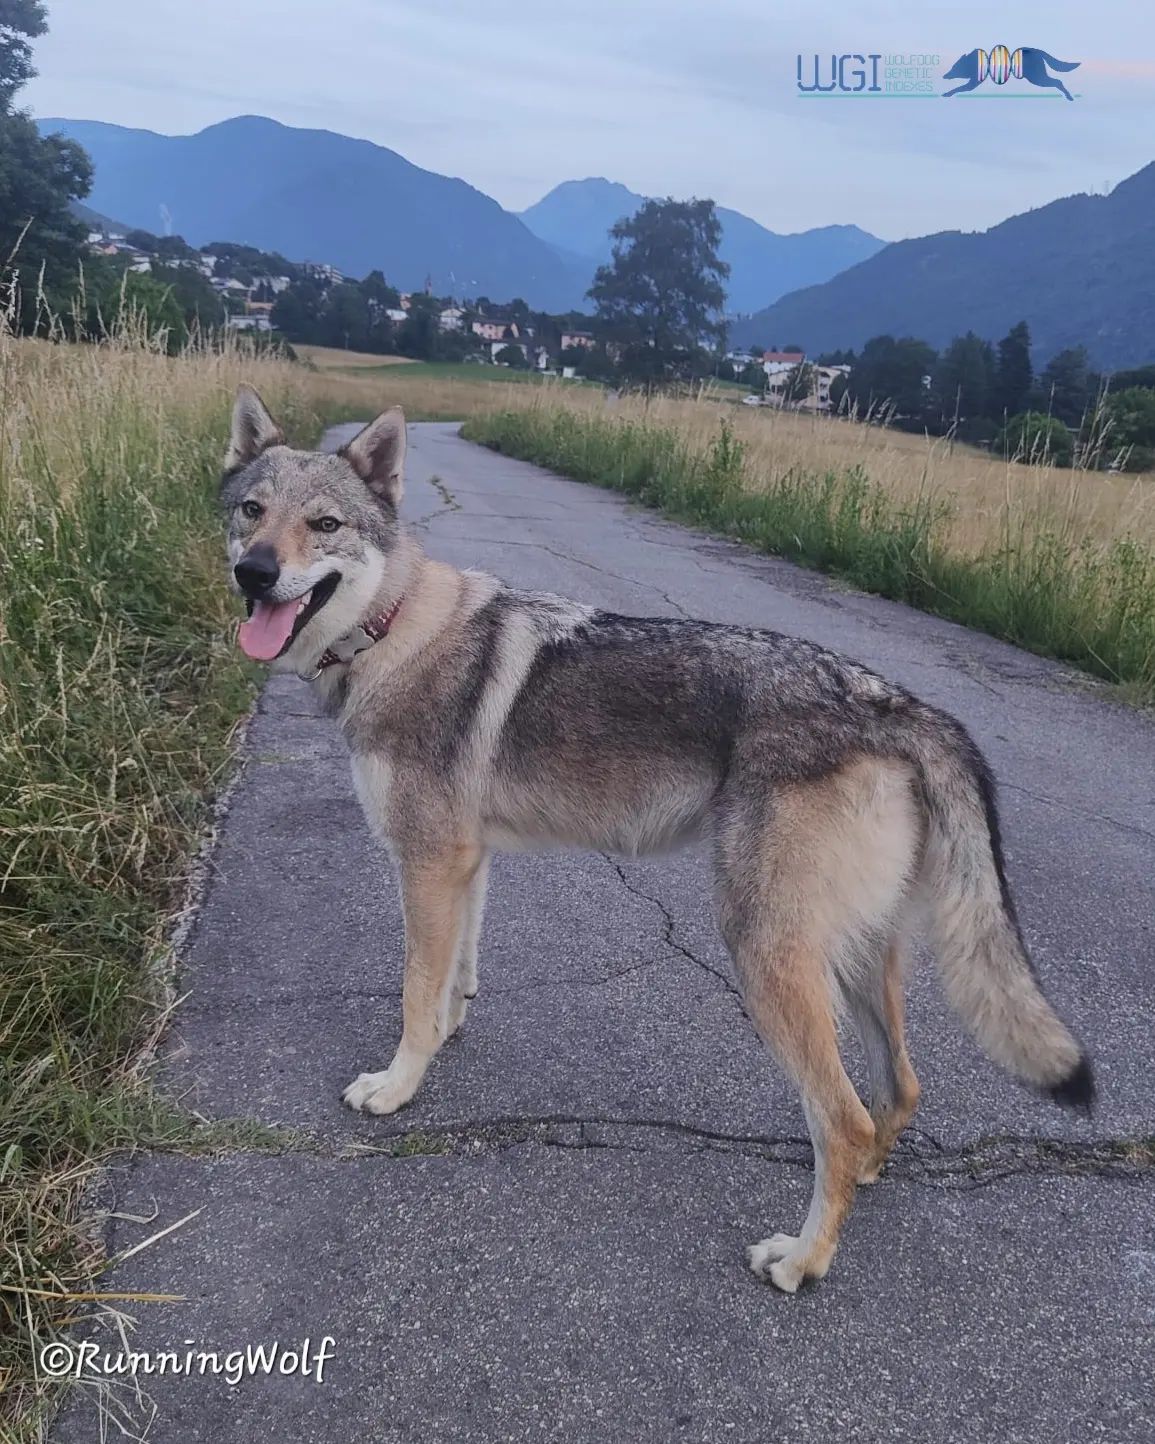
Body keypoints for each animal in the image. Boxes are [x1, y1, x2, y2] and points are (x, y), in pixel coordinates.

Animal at [220, 388, 1094, 1292]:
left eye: (323, 525)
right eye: (252, 512)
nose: (254, 572)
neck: (394, 630)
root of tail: (900, 704)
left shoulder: (426, 864)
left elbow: (412, 994)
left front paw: (396, 1088)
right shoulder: (467, 864)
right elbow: (453, 979)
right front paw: (445, 1038)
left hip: (765, 953)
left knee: (842, 1118)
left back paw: (802, 1259)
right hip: (851, 960)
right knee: (901, 1091)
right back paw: (868, 1179)